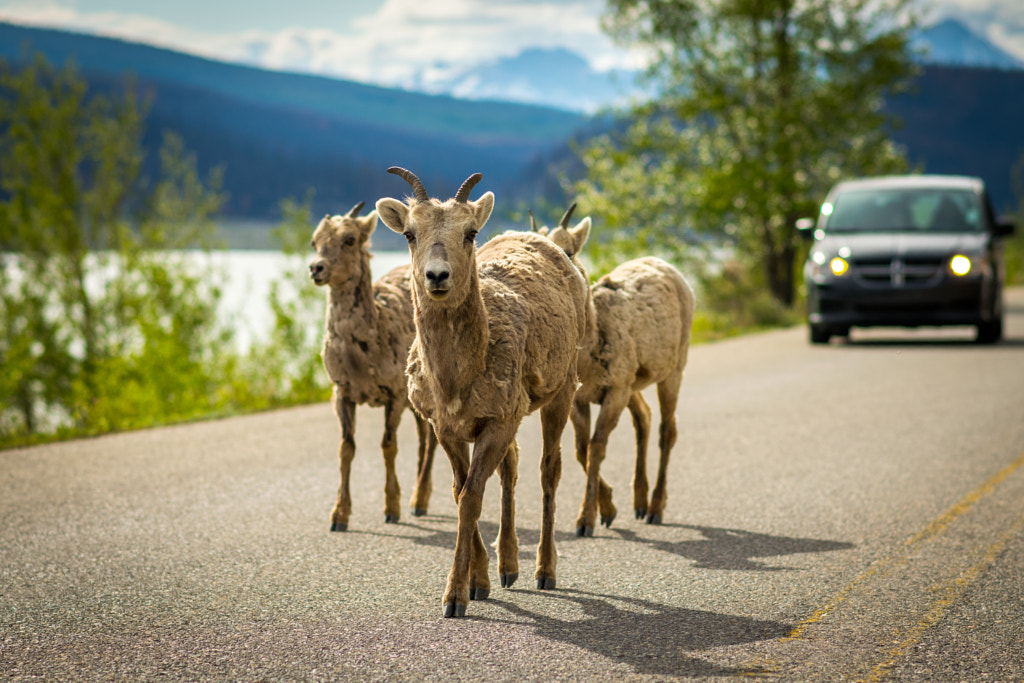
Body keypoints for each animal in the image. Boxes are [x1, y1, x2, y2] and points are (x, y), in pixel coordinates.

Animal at [311, 202, 440, 532]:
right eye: (314, 242)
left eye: (349, 239)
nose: (316, 268)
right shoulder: (342, 394)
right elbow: (346, 449)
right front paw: (339, 517)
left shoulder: (394, 395)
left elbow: (388, 446)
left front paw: (392, 509)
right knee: (423, 440)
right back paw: (418, 500)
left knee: (431, 441)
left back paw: (419, 502)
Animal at [378, 166, 589, 618]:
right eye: (409, 233)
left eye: (470, 232)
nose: (437, 276)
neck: (456, 381)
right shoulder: (447, 427)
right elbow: (461, 493)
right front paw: (479, 584)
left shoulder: (496, 421)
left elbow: (472, 498)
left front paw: (455, 598)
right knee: (512, 468)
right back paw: (508, 568)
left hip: (561, 391)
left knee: (549, 470)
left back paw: (544, 572)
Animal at [536, 205, 696, 536]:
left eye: (569, 251)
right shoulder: (581, 399)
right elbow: (581, 449)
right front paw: (607, 511)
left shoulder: (615, 391)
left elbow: (596, 448)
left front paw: (586, 522)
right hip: (635, 385)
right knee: (644, 418)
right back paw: (639, 504)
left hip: (673, 370)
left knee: (667, 430)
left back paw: (655, 509)